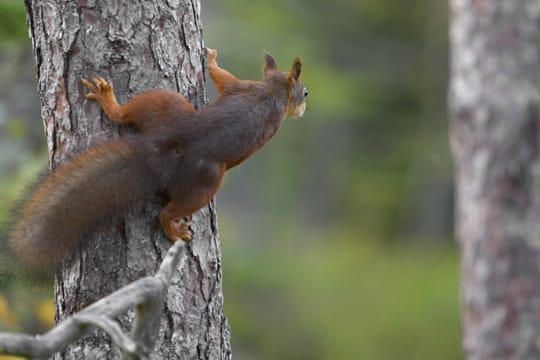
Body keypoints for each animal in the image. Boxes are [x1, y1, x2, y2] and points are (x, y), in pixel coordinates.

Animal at [9, 47, 308, 268]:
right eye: (305, 92)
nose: (304, 107)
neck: (274, 92)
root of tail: (158, 152)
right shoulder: (247, 89)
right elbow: (222, 76)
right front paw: (211, 58)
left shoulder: (245, 89)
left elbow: (223, 80)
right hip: (203, 176)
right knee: (167, 211)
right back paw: (173, 229)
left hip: (162, 106)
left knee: (124, 116)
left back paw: (109, 102)